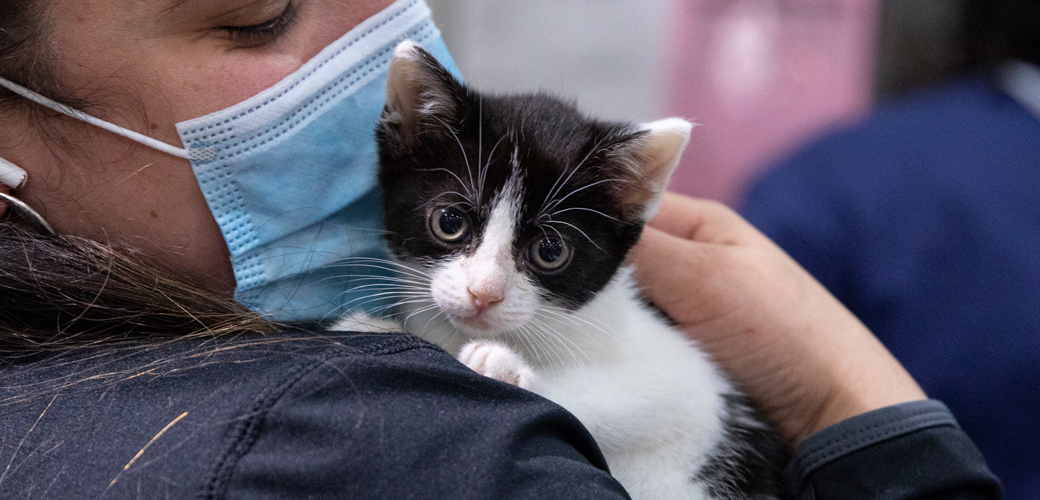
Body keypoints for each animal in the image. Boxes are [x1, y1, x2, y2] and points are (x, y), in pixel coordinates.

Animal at [336, 41, 782, 498]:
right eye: (449, 222)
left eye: (550, 250)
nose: (484, 292)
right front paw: (377, 328)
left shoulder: (693, 388)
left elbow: (623, 396)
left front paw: (509, 371)